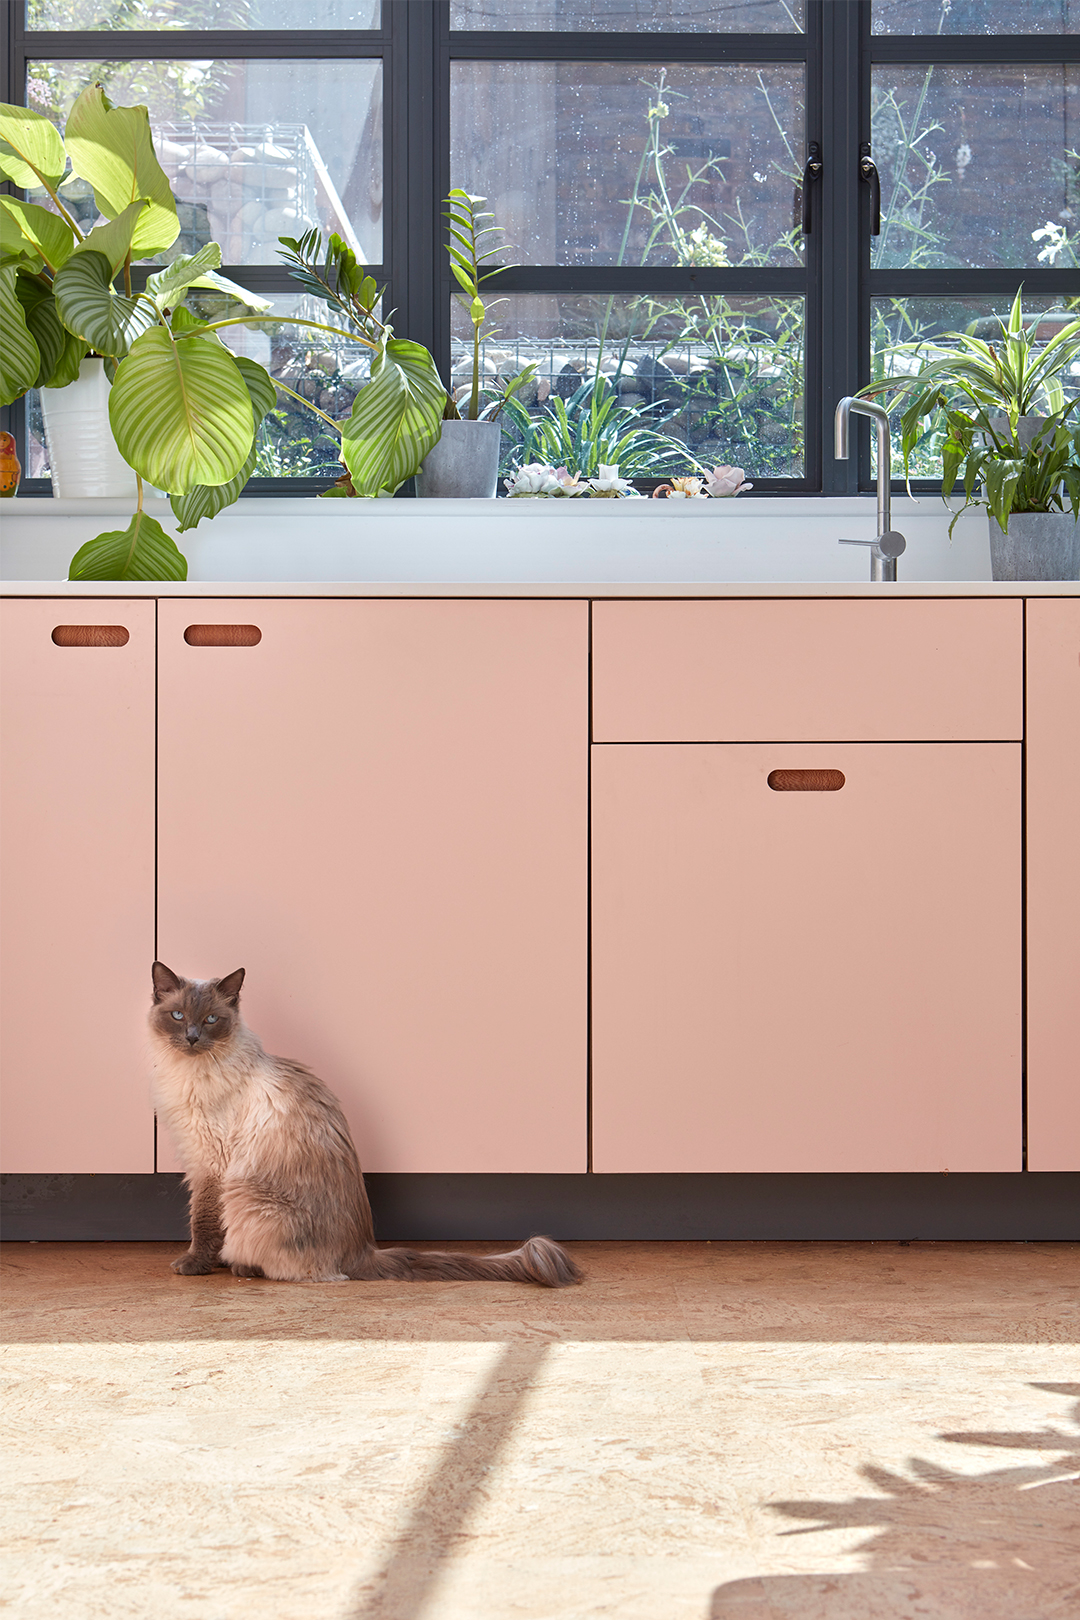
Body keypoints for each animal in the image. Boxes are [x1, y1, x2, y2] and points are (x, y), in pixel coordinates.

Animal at [149, 959, 582, 1289]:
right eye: (177, 1016)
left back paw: (241, 1266)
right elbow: (208, 1223)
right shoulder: (201, 1161)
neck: (189, 1070)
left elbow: (204, 1222)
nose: (191, 1037)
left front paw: (194, 1265)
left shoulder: (211, 1165)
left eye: (210, 1020)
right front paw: (210, 1262)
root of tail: (362, 1250)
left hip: (244, 1194)